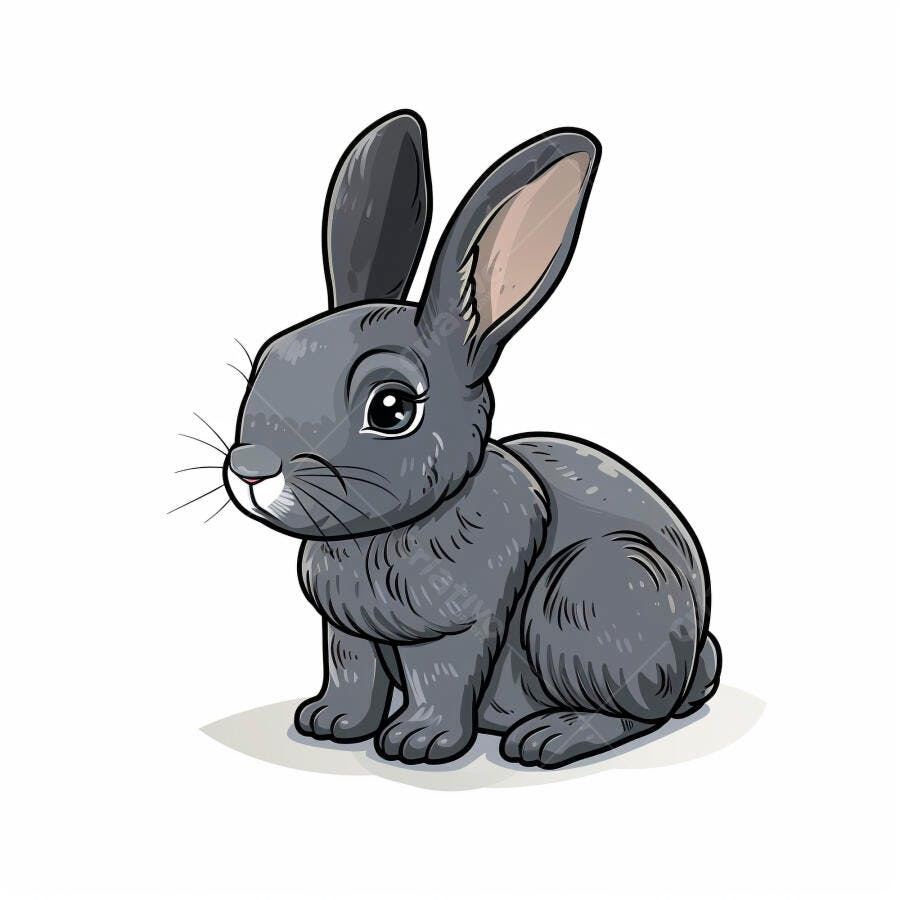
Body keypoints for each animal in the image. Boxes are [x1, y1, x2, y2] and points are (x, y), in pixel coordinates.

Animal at [222, 110, 721, 769]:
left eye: (391, 408)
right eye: (265, 361)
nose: (251, 467)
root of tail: (693, 659)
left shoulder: (459, 628)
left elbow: (443, 680)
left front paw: (417, 743)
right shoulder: (347, 633)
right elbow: (353, 672)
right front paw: (329, 723)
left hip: (587, 595)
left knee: (637, 713)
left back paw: (549, 737)